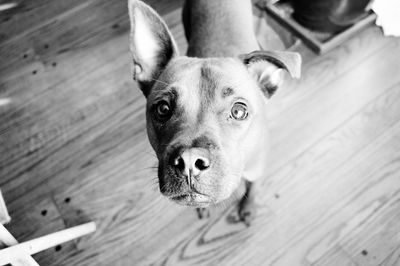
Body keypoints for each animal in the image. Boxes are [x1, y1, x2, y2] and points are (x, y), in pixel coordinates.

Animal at [128, 0, 300, 224]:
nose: (189, 162)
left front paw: (249, 208)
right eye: (163, 109)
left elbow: (253, 189)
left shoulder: (257, 169)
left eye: (238, 111)